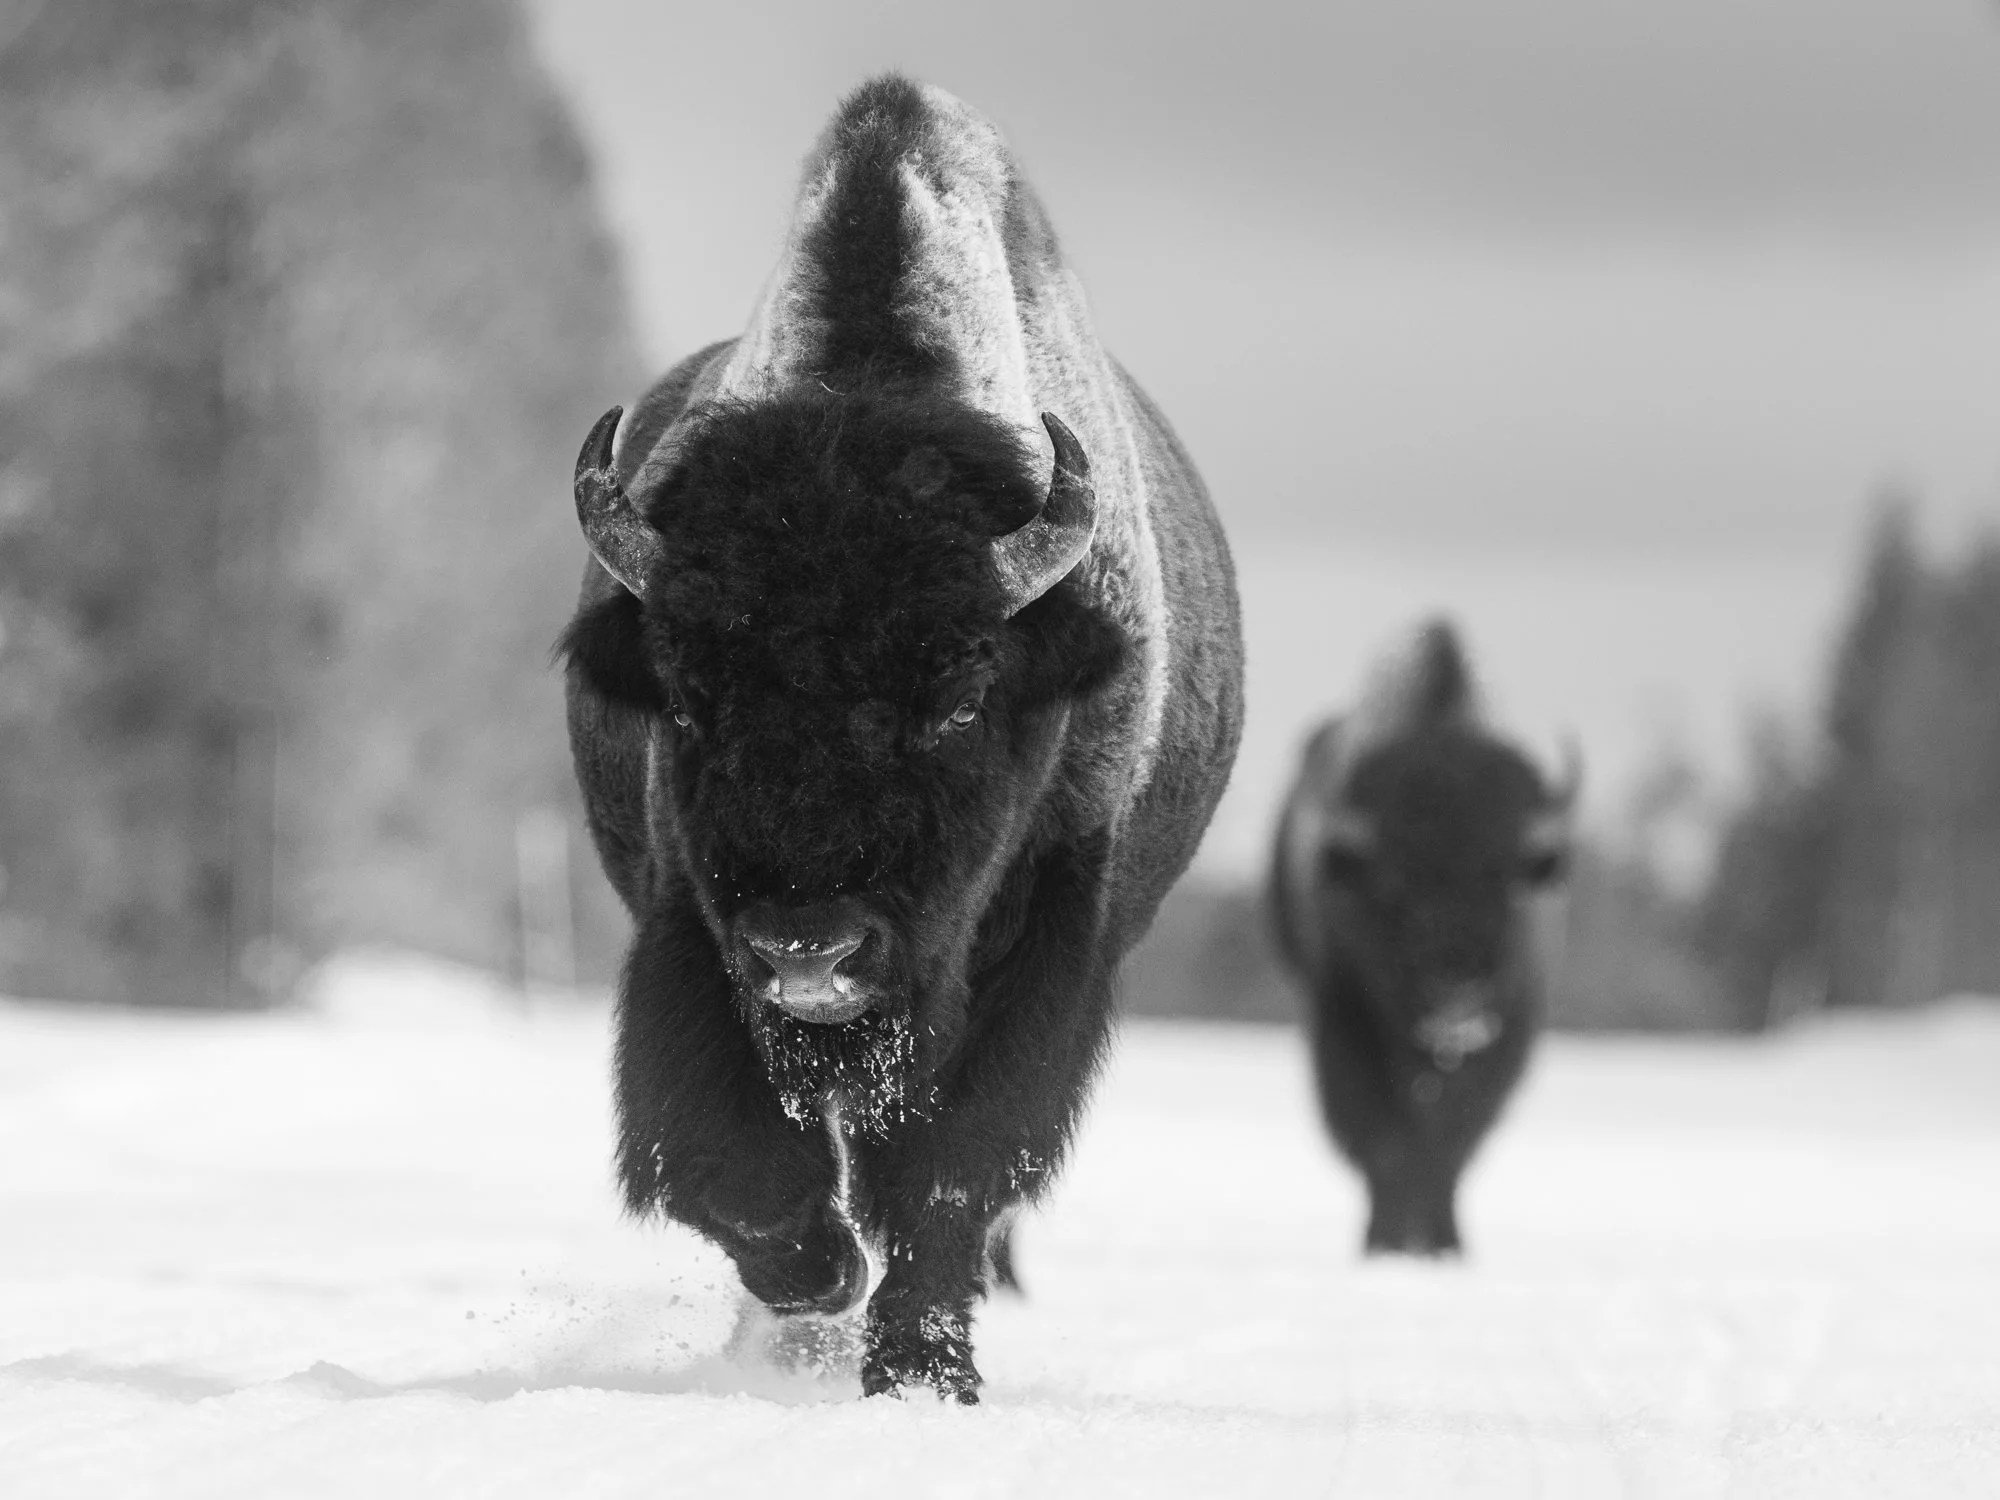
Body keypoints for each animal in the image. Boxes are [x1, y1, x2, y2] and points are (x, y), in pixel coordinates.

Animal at [560, 76, 1243, 1400]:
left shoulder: (1050, 944)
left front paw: (922, 1371)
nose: (808, 947)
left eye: (960, 696)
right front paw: (818, 1293)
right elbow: (731, 1165)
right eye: (689, 698)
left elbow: (953, 1174)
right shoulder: (689, 932)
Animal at [1269, 621, 1576, 1255]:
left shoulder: (1509, 1032)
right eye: (1392, 885)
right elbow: (1384, 1139)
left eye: (1505, 879)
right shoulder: (1343, 1023)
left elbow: (1453, 1142)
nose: (1456, 990)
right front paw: (1385, 1243)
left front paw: (1444, 1247)